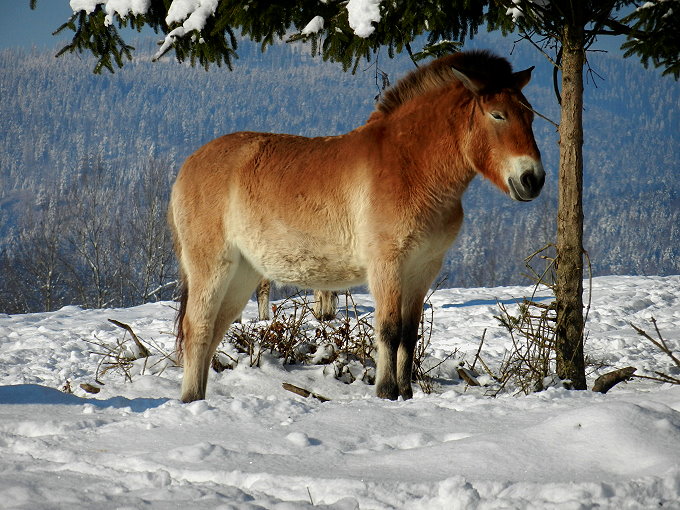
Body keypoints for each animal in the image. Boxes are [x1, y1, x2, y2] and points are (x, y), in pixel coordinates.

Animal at [171, 50, 548, 402]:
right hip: (212, 266)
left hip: (243, 273)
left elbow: (410, 333)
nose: (532, 180)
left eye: (530, 115)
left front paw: (406, 394)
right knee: (198, 328)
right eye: (498, 114)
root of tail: (188, 166)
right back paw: (190, 400)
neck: (411, 167)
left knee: (215, 329)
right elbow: (389, 330)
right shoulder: (387, 264)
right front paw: (386, 391)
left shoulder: (422, 268)